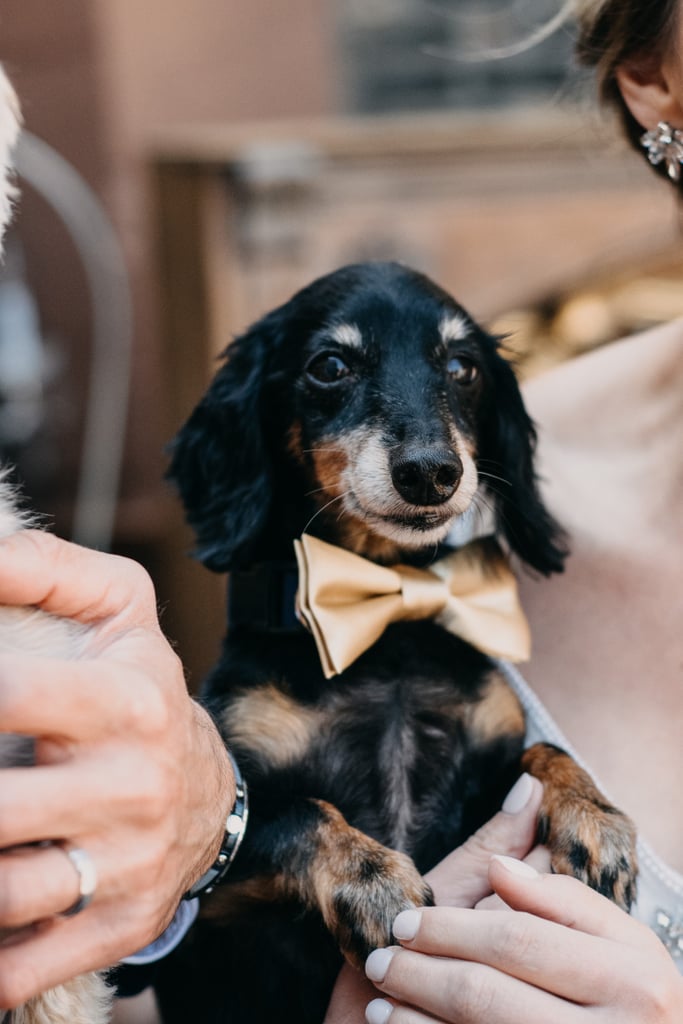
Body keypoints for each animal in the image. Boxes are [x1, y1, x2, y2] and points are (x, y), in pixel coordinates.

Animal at [156, 262, 643, 1024]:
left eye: (463, 366)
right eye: (330, 366)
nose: (430, 472)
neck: (386, 631)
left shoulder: (488, 764)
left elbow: (543, 753)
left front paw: (595, 819)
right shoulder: (214, 900)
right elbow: (296, 812)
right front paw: (375, 881)